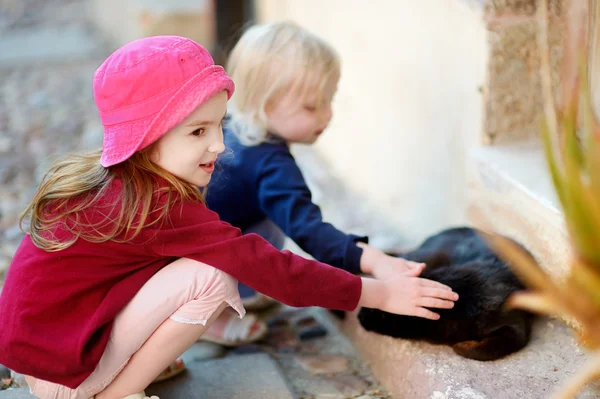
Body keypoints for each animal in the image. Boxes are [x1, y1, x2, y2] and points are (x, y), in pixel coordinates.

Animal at [356, 228, 536, 362]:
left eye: (379, 312)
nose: (359, 316)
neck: (467, 294)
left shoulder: (515, 324)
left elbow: (494, 346)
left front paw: (461, 347)